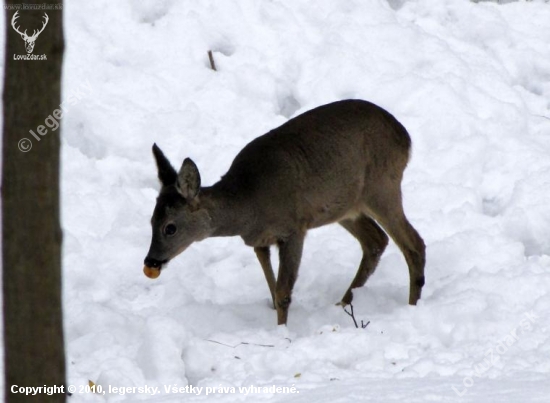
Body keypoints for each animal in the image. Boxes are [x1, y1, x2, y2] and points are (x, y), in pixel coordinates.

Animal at [143, 99, 426, 326]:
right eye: (151, 220)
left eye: (170, 227)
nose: (151, 261)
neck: (248, 205)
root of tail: (406, 137)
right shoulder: (259, 241)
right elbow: (272, 287)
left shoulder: (293, 228)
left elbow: (283, 292)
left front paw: (282, 332)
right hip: (345, 207)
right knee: (376, 240)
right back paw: (344, 304)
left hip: (382, 186)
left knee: (413, 243)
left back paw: (411, 306)